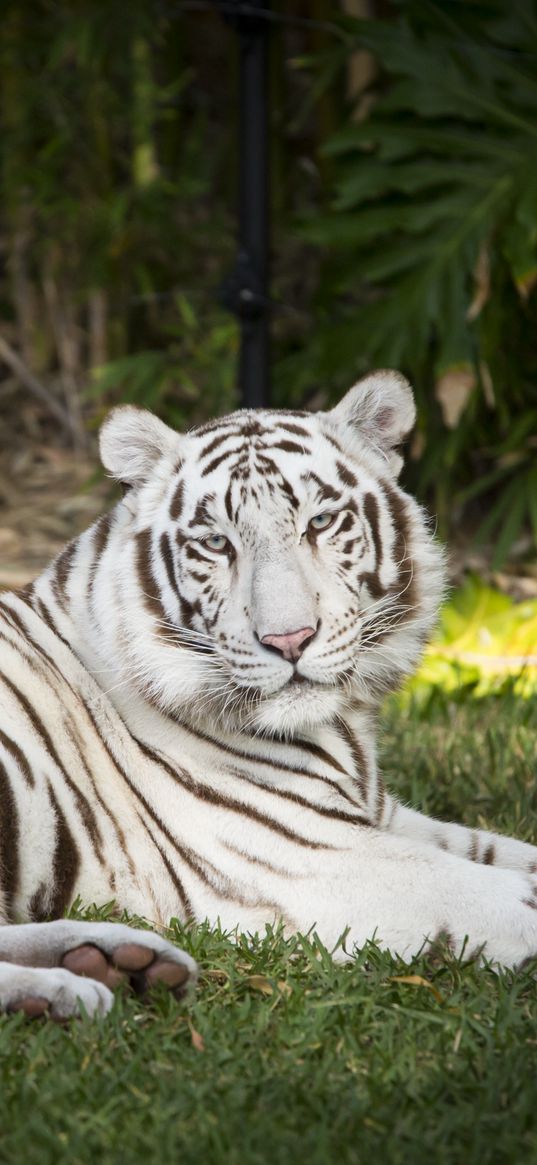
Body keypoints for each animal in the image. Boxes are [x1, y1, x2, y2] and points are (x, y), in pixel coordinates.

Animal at [1, 368, 535, 1015]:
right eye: (216, 544)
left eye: (320, 524)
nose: (289, 640)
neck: (344, 730)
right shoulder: (309, 857)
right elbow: (510, 898)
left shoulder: (380, 818)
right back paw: (63, 992)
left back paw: (120, 961)